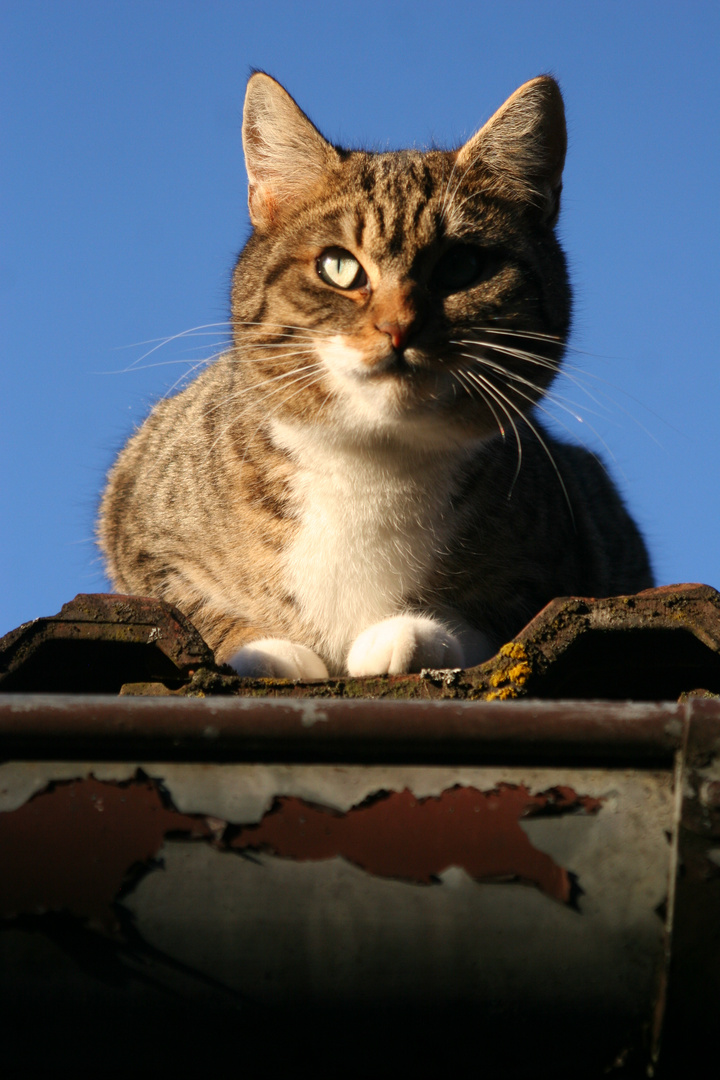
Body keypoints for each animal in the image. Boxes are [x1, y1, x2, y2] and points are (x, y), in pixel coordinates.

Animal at [98, 71, 656, 678]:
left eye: (461, 267)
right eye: (339, 267)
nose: (398, 328)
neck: (370, 464)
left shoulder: (568, 550)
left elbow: (503, 620)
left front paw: (415, 634)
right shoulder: (136, 521)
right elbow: (188, 605)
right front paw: (268, 647)